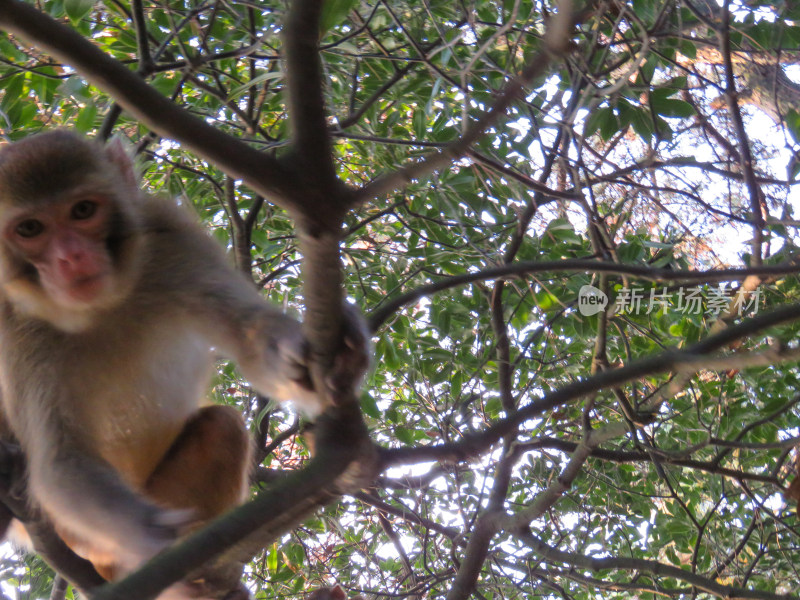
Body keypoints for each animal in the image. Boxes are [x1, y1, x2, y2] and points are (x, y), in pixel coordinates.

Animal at [0, 130, 368, 596]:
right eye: (30, 228)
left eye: (82, 210)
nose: (71, 258)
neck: (100, 307)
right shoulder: (16, 327)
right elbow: (59, 463)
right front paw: (154, 533)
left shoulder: (171, 238)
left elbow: (249, 337)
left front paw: (307, 348)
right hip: (83, 539)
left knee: (222, 425)